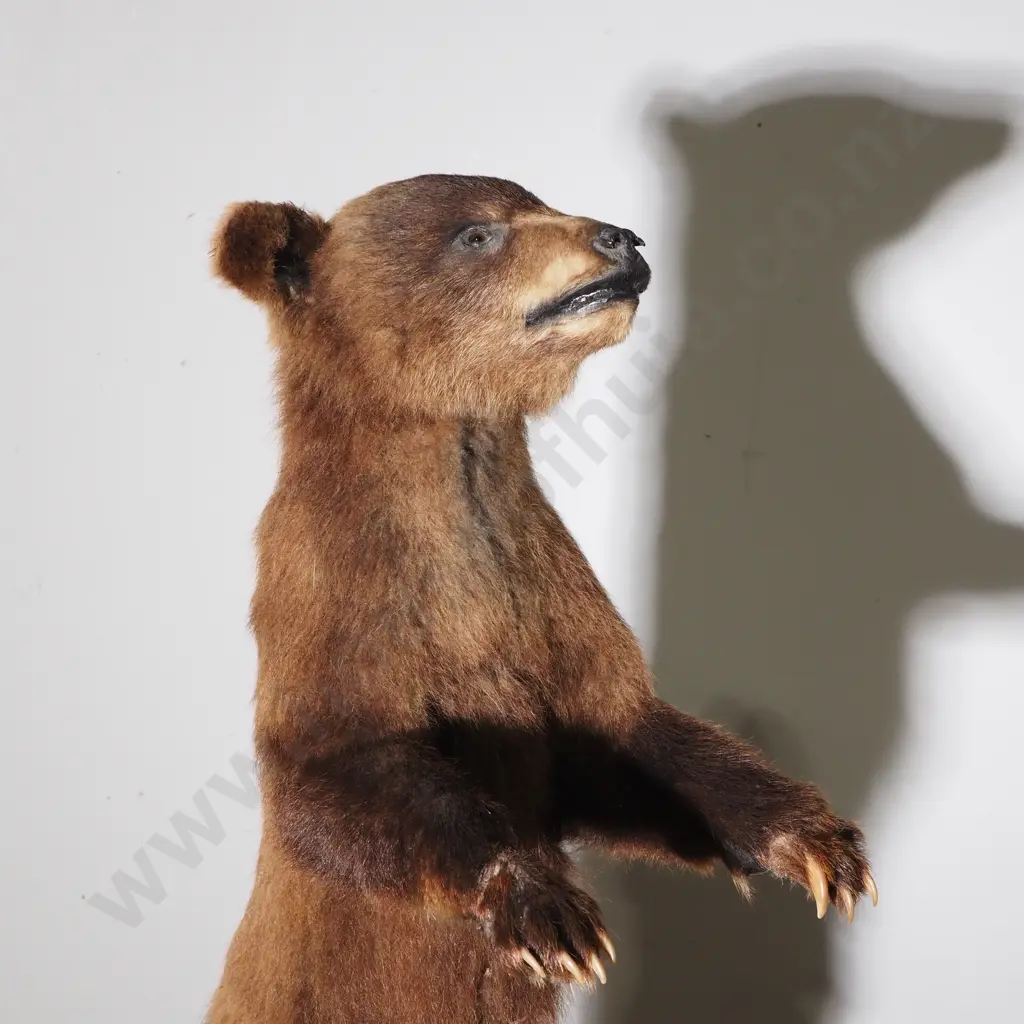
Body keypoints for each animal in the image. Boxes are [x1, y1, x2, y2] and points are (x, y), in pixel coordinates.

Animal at [205, 174, 876, 1024]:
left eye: (534, 199)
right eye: (477, 234)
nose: (621, 237)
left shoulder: (545, 592)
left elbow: (617, 739)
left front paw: (820, 845)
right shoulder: (339, 597)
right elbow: (337, 768)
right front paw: (549, 913)